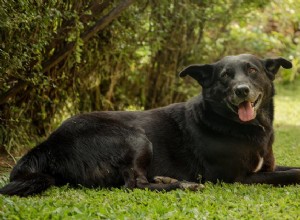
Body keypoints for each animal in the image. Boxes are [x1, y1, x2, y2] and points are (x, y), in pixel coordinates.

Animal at [0, 54, 300, 197]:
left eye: (252, 70)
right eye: (225, 76)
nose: (241, 90)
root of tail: (50, 143)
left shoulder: (266, 167)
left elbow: (291, 168)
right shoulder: (239, 178)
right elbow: (291, 175)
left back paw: (170, 180)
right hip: (136, 138)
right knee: (133, 184)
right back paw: (182, 186)